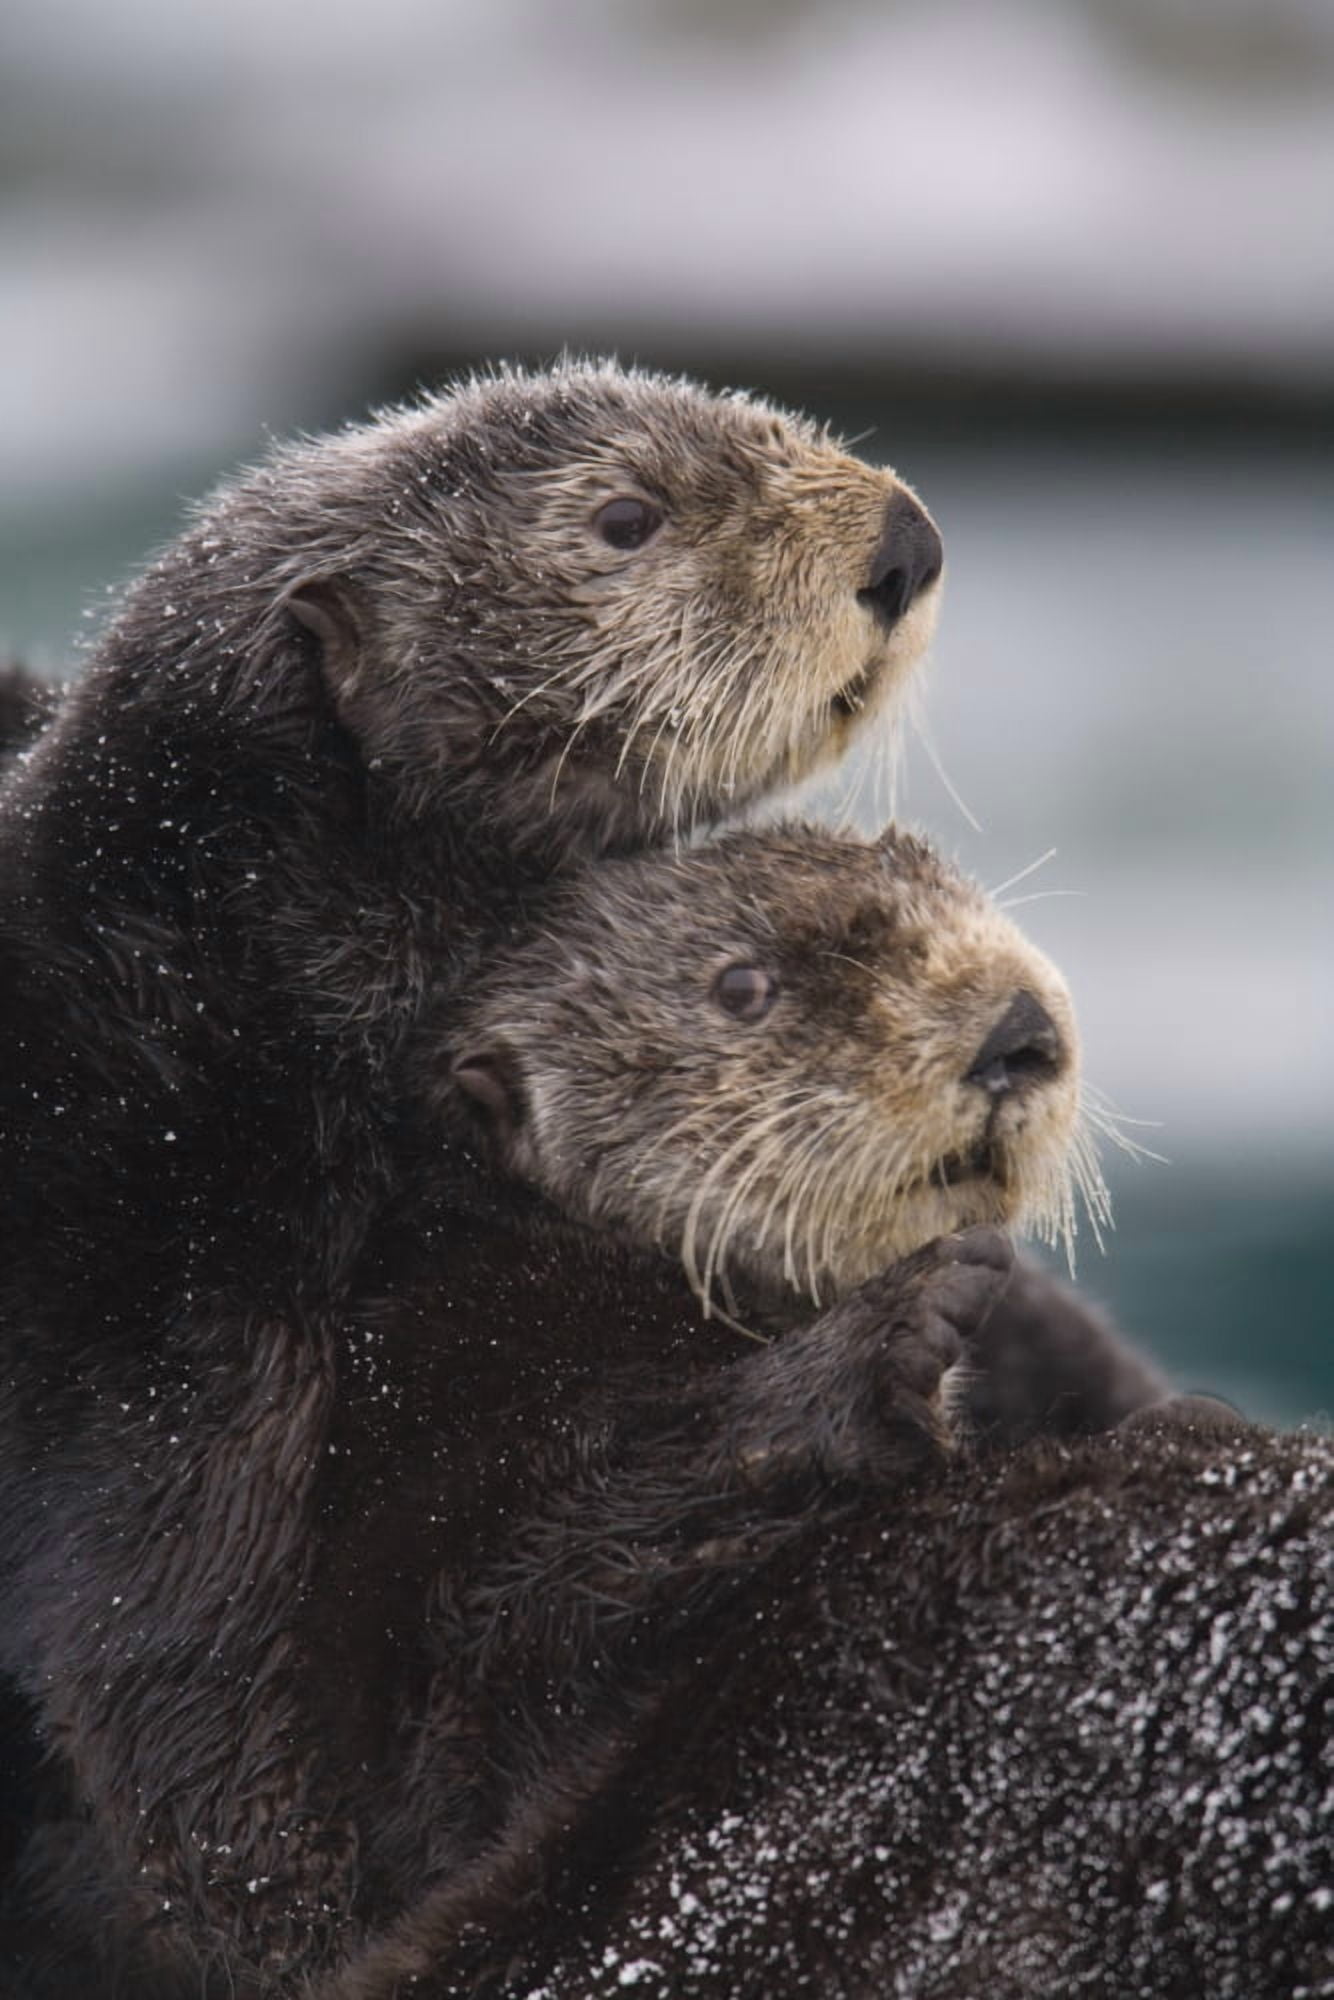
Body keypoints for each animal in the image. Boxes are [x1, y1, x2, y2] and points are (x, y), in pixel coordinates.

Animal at [2, 821, 1081, 1994]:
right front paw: (897, 1328)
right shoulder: (446, 1435)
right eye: (741, 986)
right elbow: (471, 1671)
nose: (1014, 1030)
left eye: (960, 899)